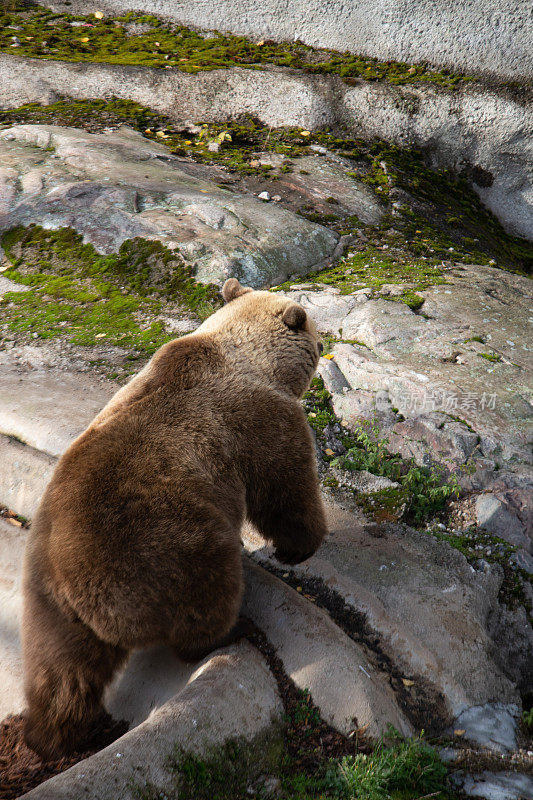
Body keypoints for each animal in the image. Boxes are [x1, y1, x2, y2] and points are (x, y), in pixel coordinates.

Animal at [22, 278, 326, 760]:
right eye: (315, 332)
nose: (324, 343)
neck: (249, 355)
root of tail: (78, 592)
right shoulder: (262, 420)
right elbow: (285, 490)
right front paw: (297, 548)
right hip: (167, 548)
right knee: (209, 589)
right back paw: (231, 630)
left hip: (46, 597)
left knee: (61, 669)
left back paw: (51, 736)